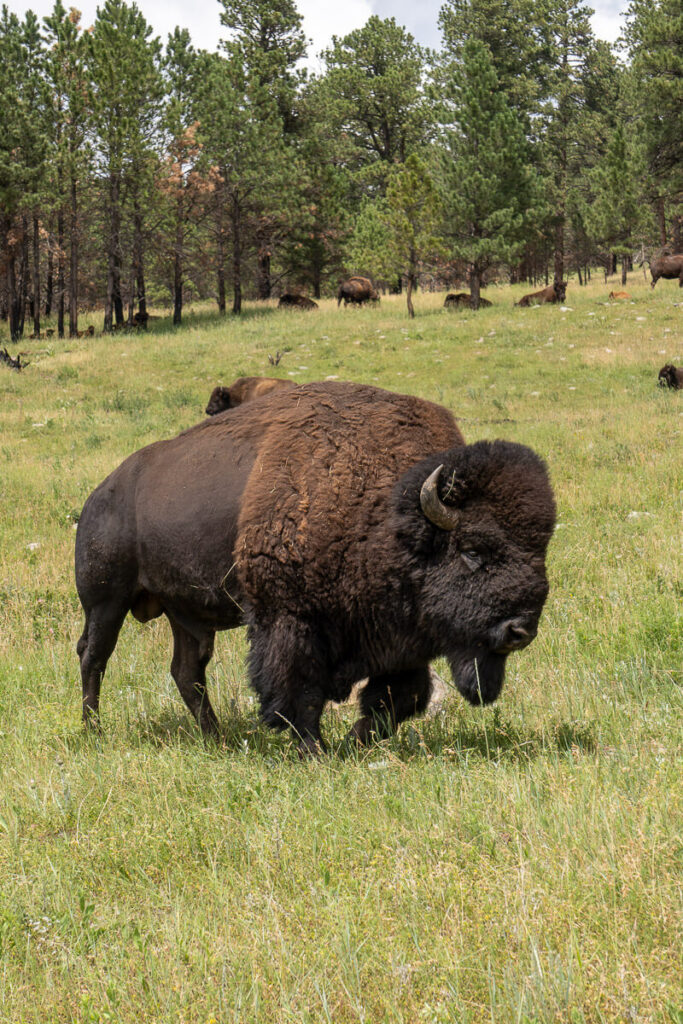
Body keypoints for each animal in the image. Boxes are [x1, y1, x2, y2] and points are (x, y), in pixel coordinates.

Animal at [75, 382, 556, 755]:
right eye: (473, 550)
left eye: (541, 549)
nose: (521, 631)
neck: (389, 513)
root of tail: (100, 493)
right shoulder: (291, 619)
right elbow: (300, 692)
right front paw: (316, 750)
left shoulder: (400, 637)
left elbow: (401, 696)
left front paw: (356, 741)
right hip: (106, 601)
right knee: (93, 656)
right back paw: (93, 730)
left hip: (187, 614)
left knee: (187, 671)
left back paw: (216, 739)